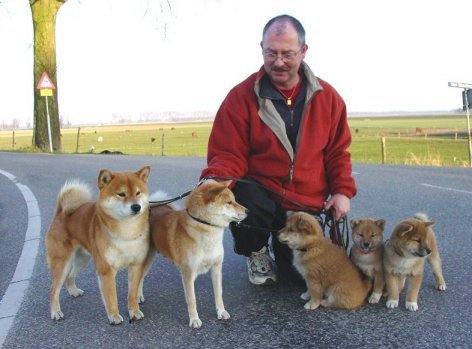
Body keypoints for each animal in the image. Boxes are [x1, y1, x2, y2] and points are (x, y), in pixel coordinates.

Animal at [45, 166, 150, 324]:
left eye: (138, 193)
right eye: (121, 194)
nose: (136, 207)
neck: (126, 232)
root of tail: (60, 213)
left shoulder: (136, 266)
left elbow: (132, 294)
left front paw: (134, 311)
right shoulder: (106, 270)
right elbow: (112, 297)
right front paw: (114, 316)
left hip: (83, 259)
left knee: (70, 276)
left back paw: (73, 291)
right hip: (62, 262)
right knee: (53, 289)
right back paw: (56, 312)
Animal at [149, 178, 247, 328]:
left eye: (234, 200)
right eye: (229, 202)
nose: (248, 211)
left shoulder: (217, 268)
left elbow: (219, 294)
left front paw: (221, 312)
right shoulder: (188, 274)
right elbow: (192, 300)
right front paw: (194, 319)